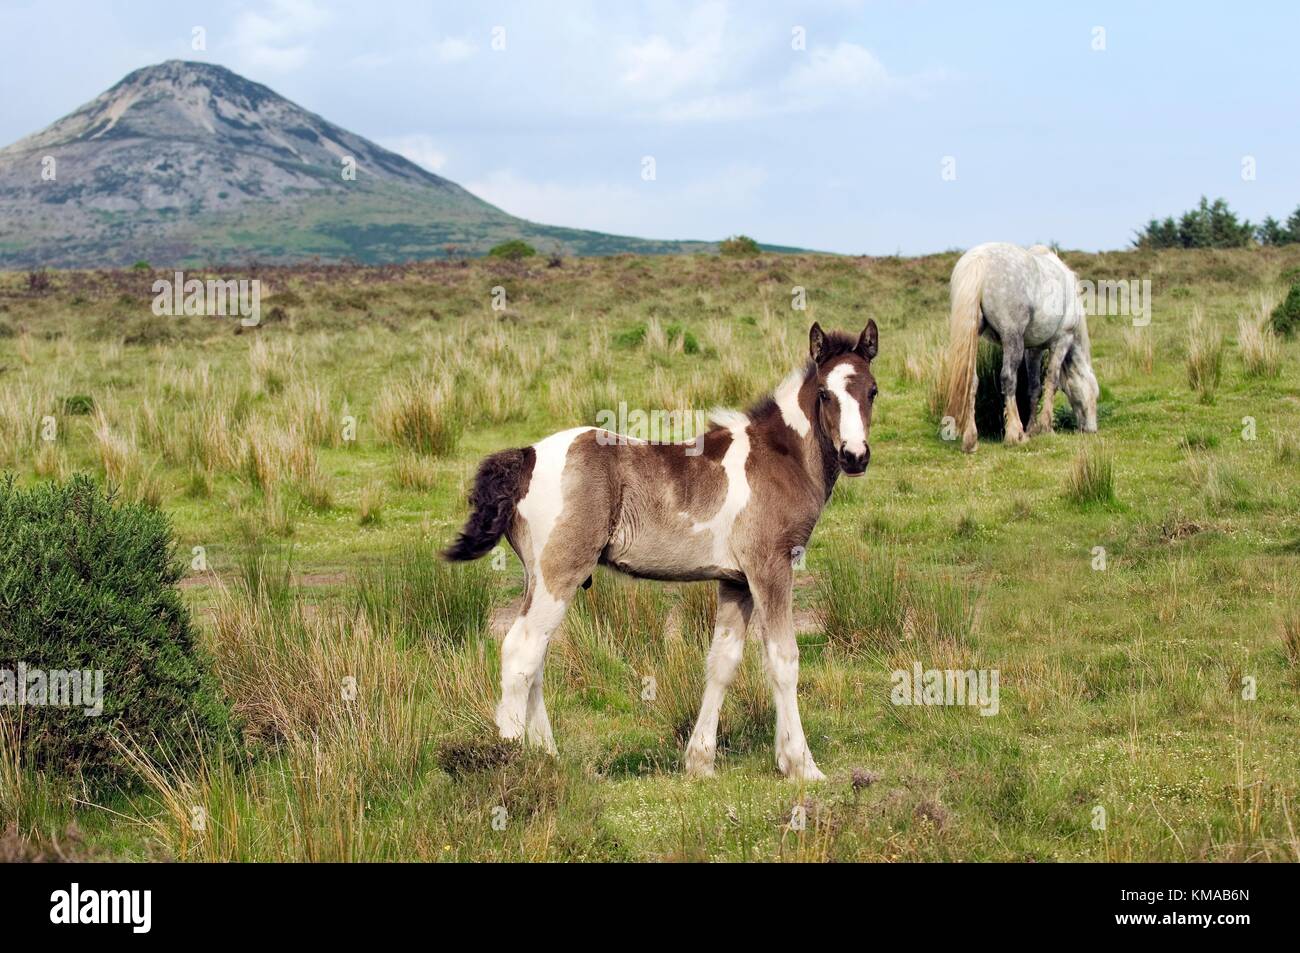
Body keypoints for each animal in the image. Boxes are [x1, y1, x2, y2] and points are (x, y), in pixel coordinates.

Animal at [447, 321, 883, 780]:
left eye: (872, 390)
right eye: (825, 393)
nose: (855, 456)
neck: (778, 457)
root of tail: (527, 456)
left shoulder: (736, 581)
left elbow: (722, 662)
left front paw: (701, 762)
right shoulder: (771, 568)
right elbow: (783, 660)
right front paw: (802, 765)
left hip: (539, 578)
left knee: (538, 660)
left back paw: (547, 754)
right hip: (558, 574)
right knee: (521, 652)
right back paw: (512, 759)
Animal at [946, 243, 1097, 455]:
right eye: (1094, 393)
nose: (1091, 429)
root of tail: (979, 259)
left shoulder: (1033, 350)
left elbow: (1034, 388)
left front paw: (1032, 428)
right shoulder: (1062, 341)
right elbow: (1052, 381)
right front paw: (1046, 427)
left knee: (972, 381)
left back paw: (971, 439)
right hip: (1012, 338)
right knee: (1008, 378)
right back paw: (1014, 434)